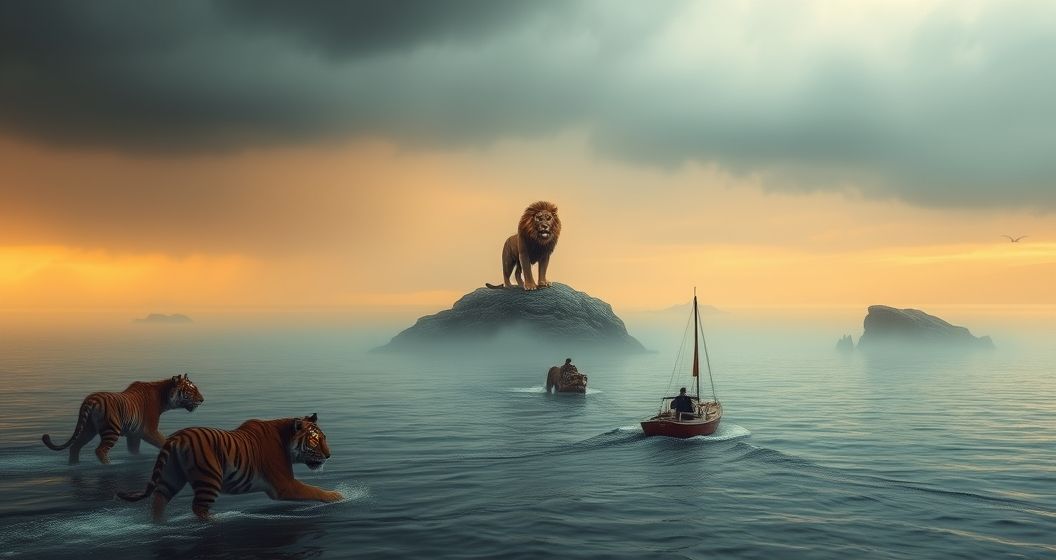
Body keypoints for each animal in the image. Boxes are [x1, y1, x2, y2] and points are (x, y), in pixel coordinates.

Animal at [42, 373, 204, 465]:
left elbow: (134, 450)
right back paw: (109, 465)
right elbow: (164, 441)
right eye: (191, 390)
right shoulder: (148, 430)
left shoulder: (135, 434)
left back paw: (74, 465)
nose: (202, 399)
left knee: (75, 446)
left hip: (88, 429)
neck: (164, 397)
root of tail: (91, 399)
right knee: (100, 450)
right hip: (111, 430)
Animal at [117, 413, 344, 522]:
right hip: (210, 479)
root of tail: (176, 438)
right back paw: (217, 520)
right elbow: (313, 490)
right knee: (198, 508)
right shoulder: (284, 485)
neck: (285, 439)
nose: (329, 455)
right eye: (314, 440)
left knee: (158, 500)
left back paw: (159, 524)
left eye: (324, 437)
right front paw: (337, 496)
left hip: (171, 477)